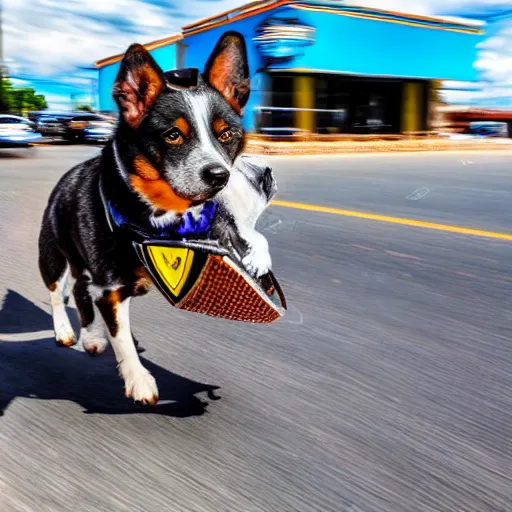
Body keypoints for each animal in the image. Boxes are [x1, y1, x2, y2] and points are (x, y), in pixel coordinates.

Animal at [38, 33, 272, 408]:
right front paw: (139, 380)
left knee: (80, 288)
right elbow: (121, 337)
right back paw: (65, 331)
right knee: (58, 292)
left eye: (226, 135)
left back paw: (91, 336)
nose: (219, 176)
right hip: (53, 254)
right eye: (172, 135)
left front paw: (257, 254)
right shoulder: (111, 288)